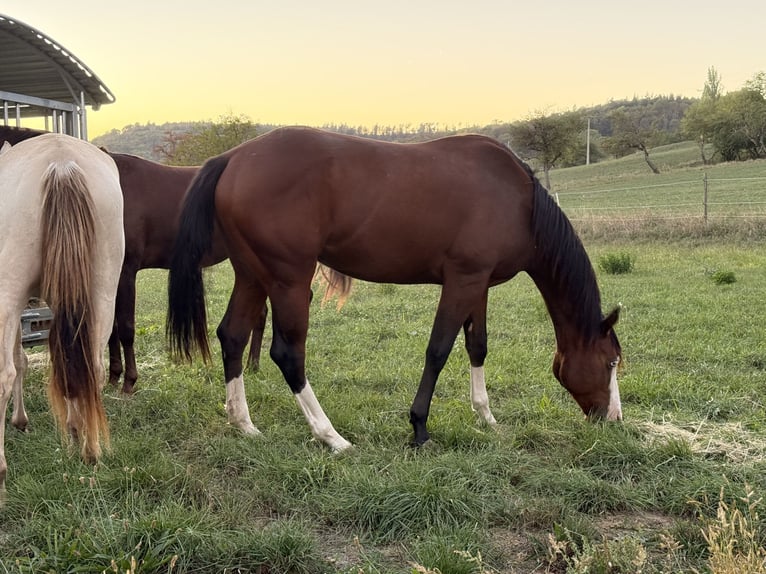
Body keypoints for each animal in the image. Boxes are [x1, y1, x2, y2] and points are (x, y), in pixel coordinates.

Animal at [0, 133, 124, 500]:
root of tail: (62, 162)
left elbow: (19, 361)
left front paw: (20, 420)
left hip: (10, 289)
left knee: (4, 374)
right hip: (103, 289)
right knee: (90, 364)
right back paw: (89, 450)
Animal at [167, 126, 622, 451]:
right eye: (611, 362)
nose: (613, 419)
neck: (519, 201)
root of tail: (232, 158)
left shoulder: (479, 284)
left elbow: (477, 346)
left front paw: (486, 417)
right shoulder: (462, 281)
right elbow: (438, 350)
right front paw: (419, 427)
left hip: (252, 275)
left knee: (233, 336)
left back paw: (244, 424)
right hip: (288, 280)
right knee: (287, 354)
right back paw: (331, 436)